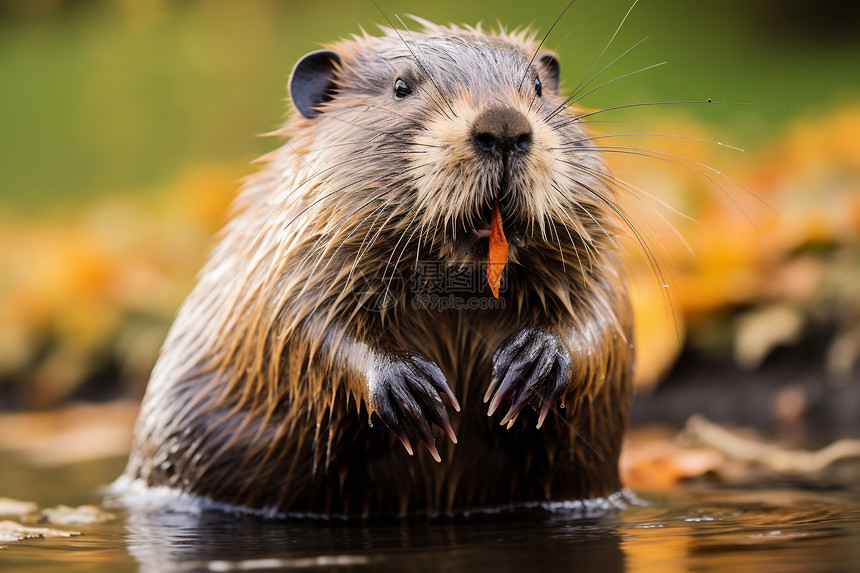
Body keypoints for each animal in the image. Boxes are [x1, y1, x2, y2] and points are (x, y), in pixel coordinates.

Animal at [119, 20, 632, 516]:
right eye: (401, 86)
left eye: (539, 87)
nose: (504, 127)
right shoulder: (283, 255)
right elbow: (298, 325)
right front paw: (412, 390)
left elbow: (604, 315)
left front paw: (533, 361)